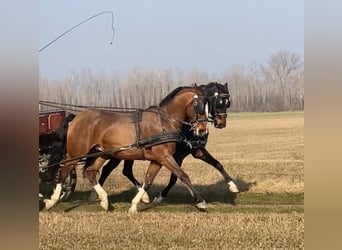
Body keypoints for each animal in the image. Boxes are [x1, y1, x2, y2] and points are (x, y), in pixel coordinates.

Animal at [44, 84, 211, 211]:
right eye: (199, 105)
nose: (203, 130)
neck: (164, 122)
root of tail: (76, 117)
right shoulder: (164, 156)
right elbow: (183, 175)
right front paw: (201, 201)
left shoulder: (157, 160)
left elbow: (148, 181)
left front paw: (135, 205)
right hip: (75, 153)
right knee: (63, 172)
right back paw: (52, 200)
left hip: (100, 153)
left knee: (90, 173)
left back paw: (104, 201)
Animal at [87, 82, 239, 205]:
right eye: (219, 102)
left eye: (228, 103)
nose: (221, 123)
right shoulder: (175, 155)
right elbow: (175, 177)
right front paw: (160, 197)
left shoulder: (196, 150)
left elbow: (217, 163)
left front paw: (232, 185)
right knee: (111, 170)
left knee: (121, 170)